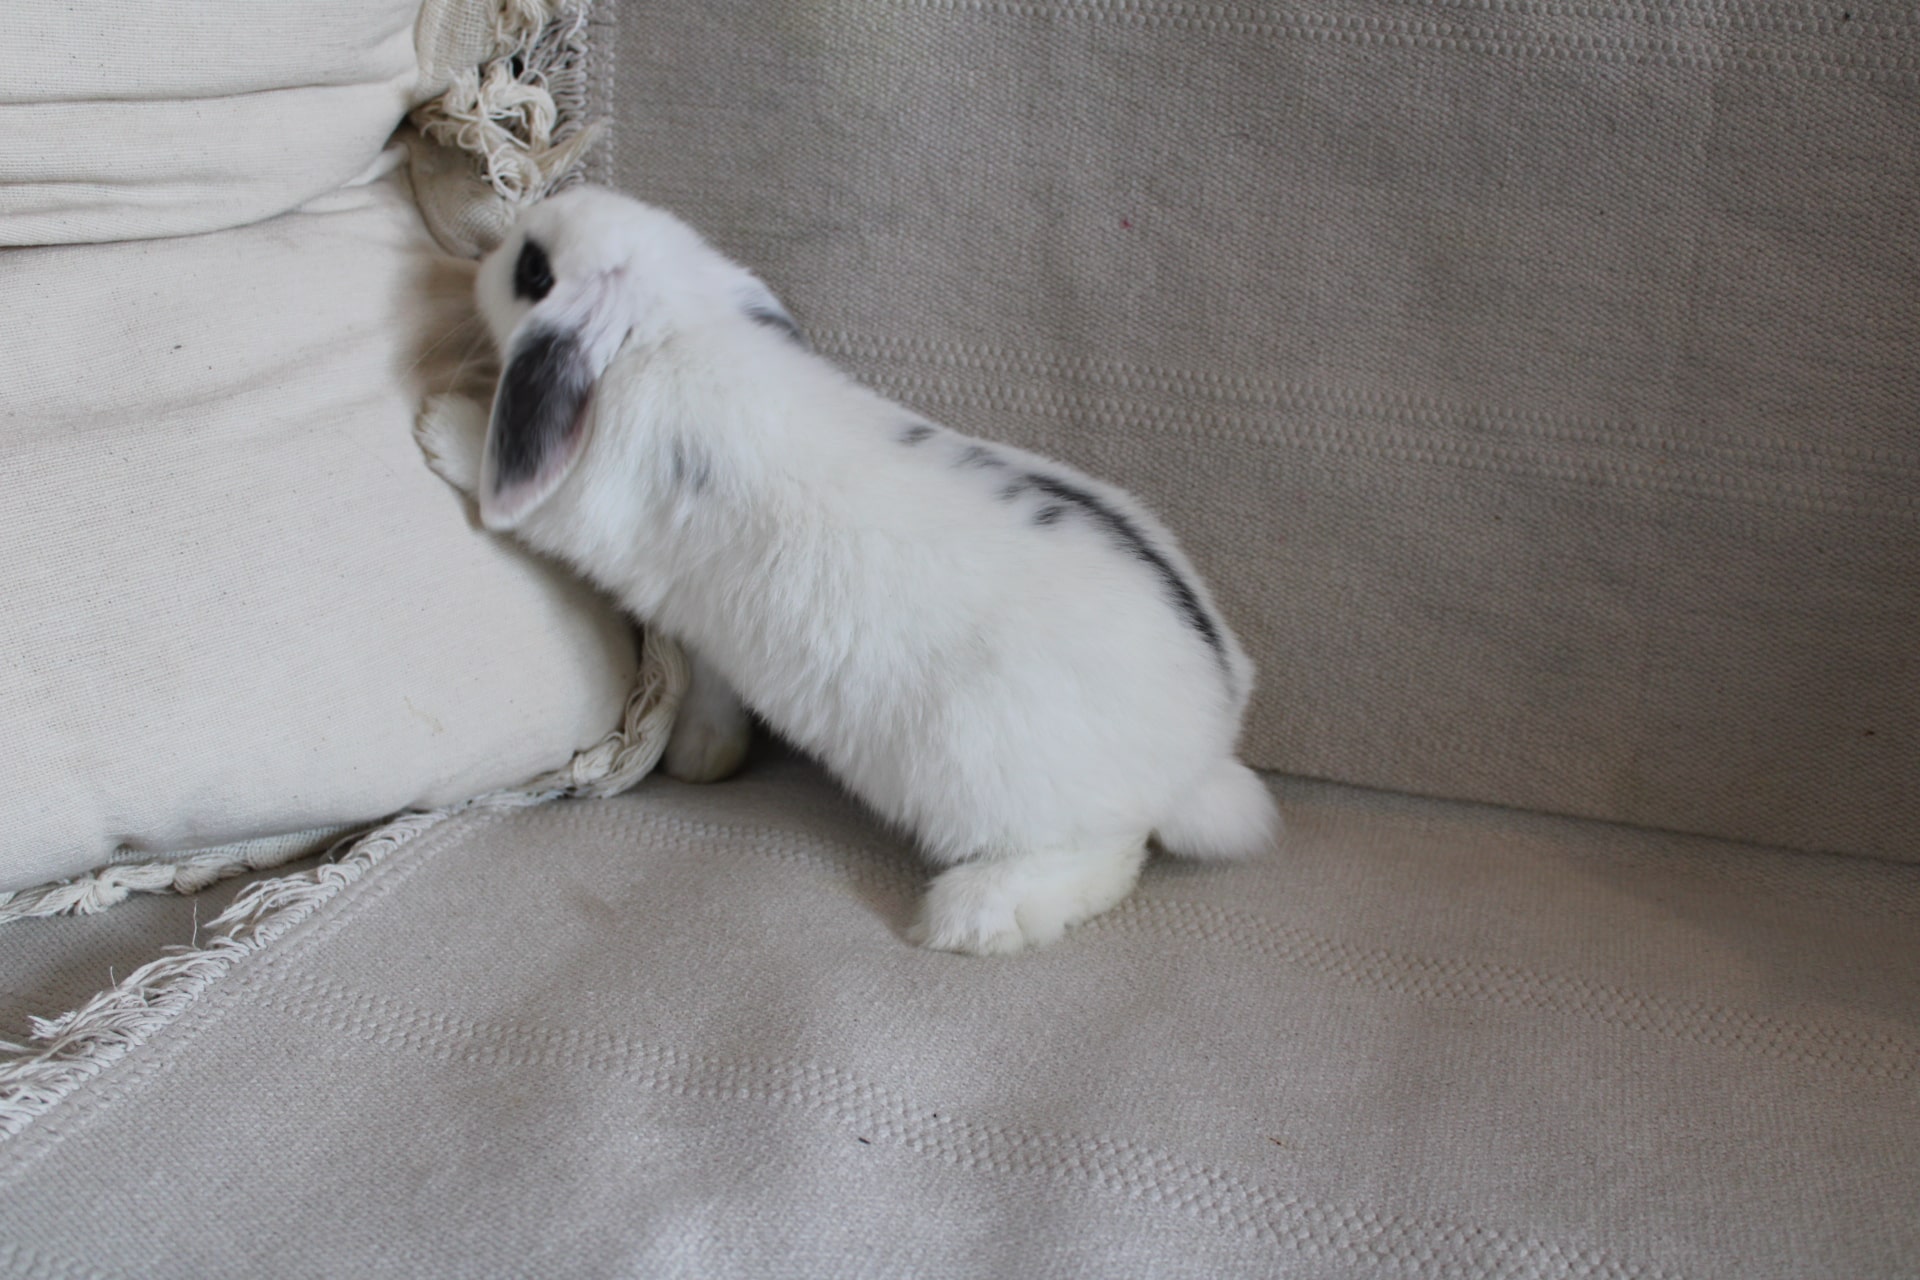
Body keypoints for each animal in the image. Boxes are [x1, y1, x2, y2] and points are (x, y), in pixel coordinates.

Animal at [415, 185, 1280, 954]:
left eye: (535, 271)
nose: (486, 250)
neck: (670, 330)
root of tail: (1200, 755)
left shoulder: (580, 507)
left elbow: (509, 497)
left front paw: (440, 426)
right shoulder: (711, 630)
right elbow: (714, 687)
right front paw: (702, 757)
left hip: (987, 782)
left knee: (1108, 856)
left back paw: (973, 917)